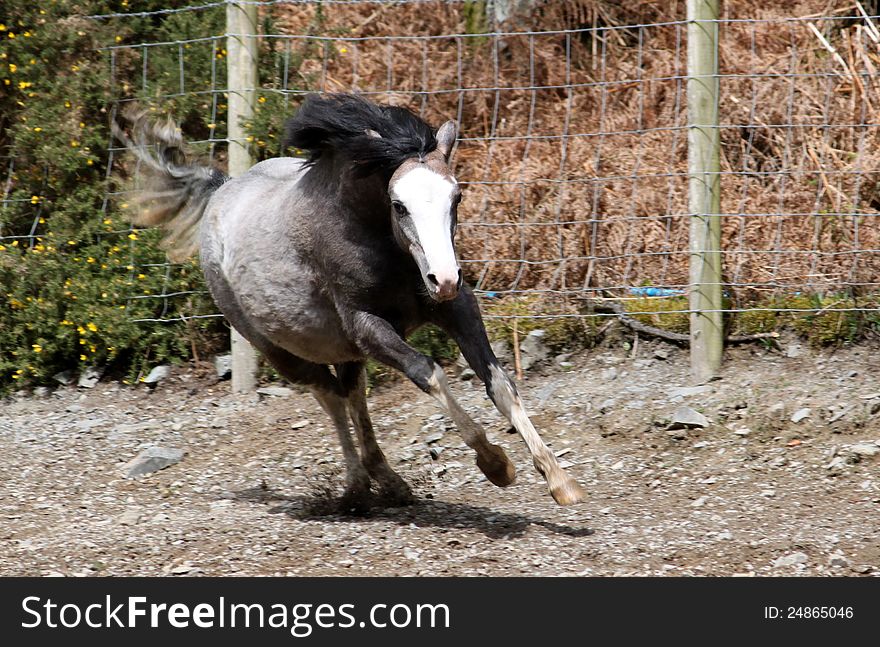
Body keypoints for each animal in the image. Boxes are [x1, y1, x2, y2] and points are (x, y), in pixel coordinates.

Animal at [117, 95, 584, 512]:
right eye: (399, 205)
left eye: (456, 198)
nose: (445, 278)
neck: (373, 239)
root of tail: (221, 191)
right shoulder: (367, 326)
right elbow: (429, 373)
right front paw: (496, 464)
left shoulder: (455, 308)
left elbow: (499, 382)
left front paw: (560, 481)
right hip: (282, 349)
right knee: (330, 396)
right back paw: (358, 487)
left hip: (342, 345)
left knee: (352, 391)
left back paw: (388, 481)